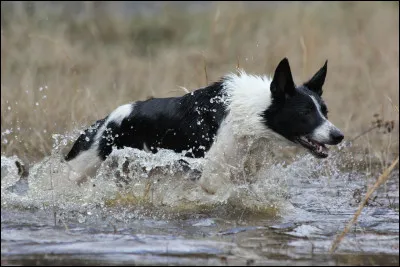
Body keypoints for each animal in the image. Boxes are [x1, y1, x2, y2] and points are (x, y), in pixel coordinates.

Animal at [65, 57, 344, 185]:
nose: (338, 136)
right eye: (305, 113)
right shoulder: (209, 175)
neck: (251, 113)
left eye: (325, 112)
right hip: (82, 167)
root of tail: (104, 122)